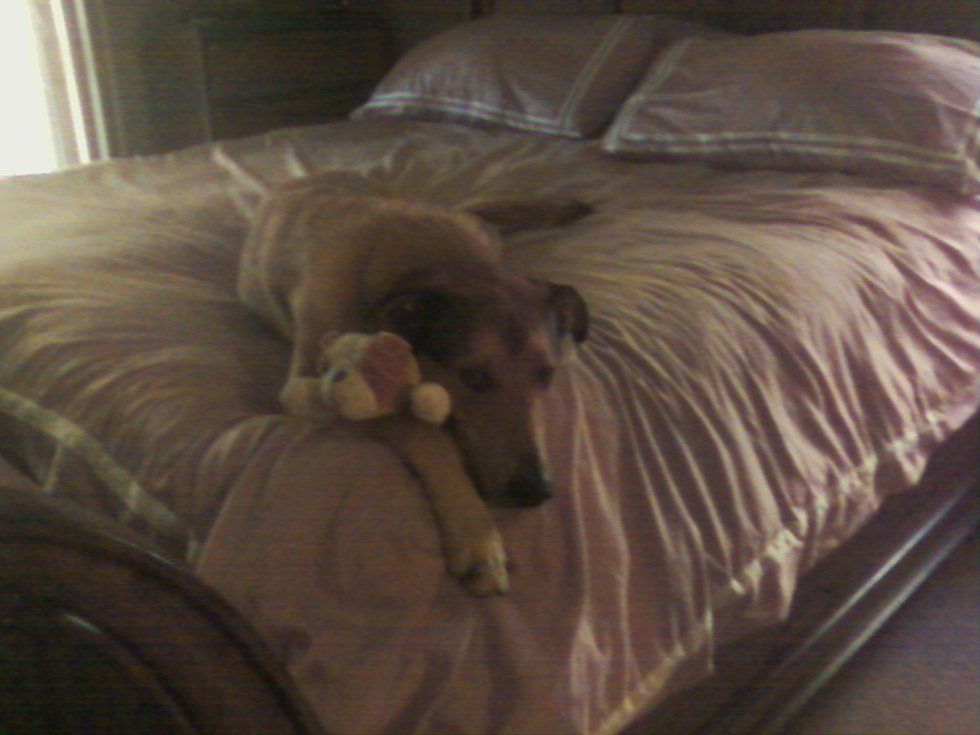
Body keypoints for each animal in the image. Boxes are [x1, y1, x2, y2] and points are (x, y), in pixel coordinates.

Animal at [238, 184, 589, 595]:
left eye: (546, 375)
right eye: (473, 376)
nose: (535, 491)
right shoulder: (308, 389)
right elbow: (422, 434)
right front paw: (477, 537)